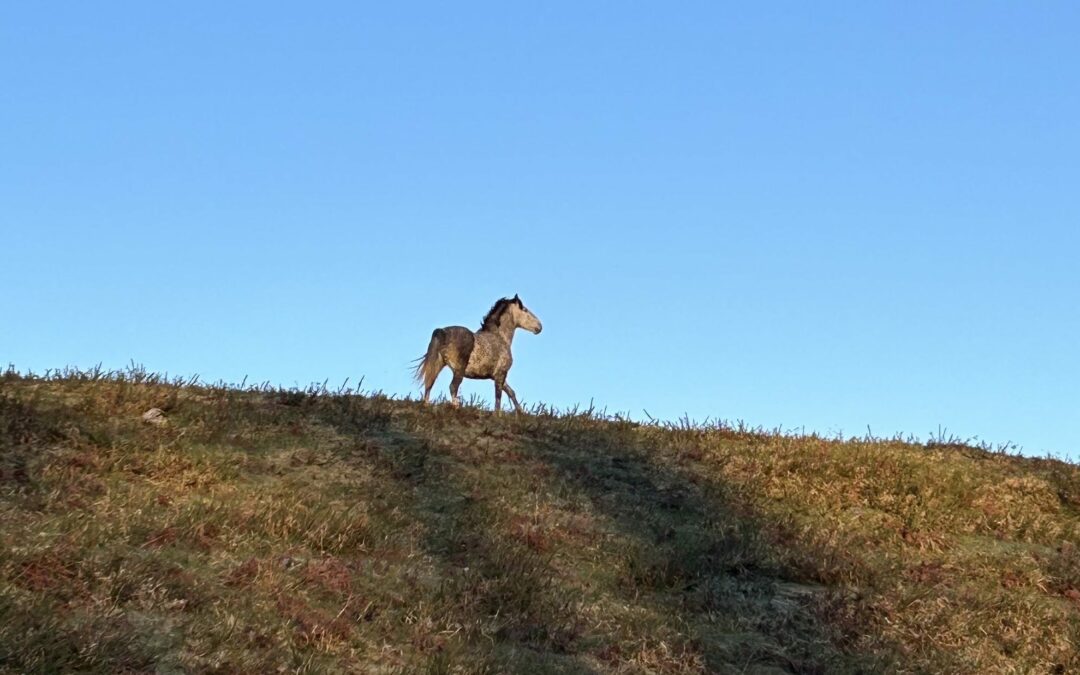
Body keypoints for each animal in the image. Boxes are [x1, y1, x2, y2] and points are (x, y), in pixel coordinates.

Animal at [416, 293, 544, 410]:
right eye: (525, 310)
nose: (539, 327)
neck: (499, 337)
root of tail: (442, 331)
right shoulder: (501, 374)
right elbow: (498, 399)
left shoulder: (496, 376)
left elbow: (511, 392)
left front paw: (521, 413)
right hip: (458, 370)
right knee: (453, 387)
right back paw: (456, 408)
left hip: (437, 365)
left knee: (429, 385)